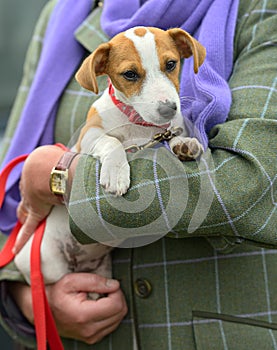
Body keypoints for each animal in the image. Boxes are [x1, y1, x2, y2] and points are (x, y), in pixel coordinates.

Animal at [14, 26, 205, 296]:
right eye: (130, 74)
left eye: (171, 64)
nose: (169, 109)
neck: (140, 125)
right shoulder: (89, 137)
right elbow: (112, 143)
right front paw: (116, 174)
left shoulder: (166, 130)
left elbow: (172, 135)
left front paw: (184, 144)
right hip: (44, 261)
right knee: (52, 284)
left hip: (101, 268)